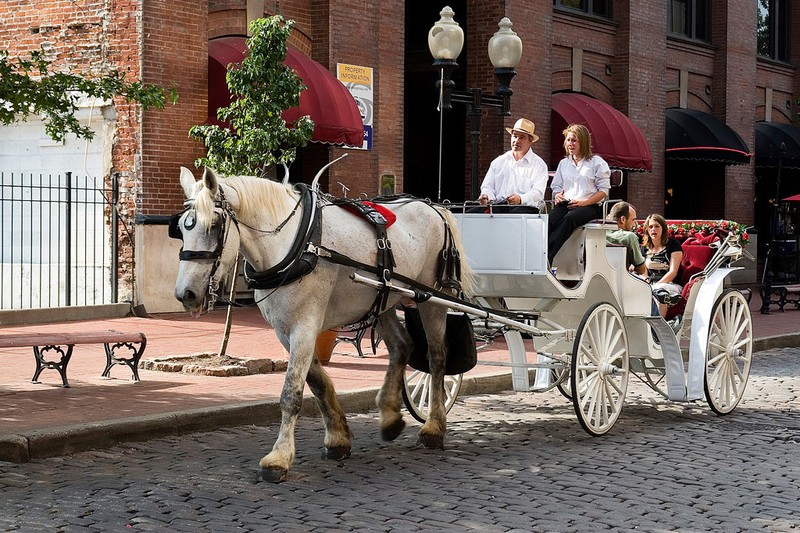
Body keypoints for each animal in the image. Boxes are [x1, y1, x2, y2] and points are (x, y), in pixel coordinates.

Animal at [172, 167, 472, 482]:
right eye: (181, 227)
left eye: (214, 225)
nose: (186, 294)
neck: (294, 242)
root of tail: (434, 206)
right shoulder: (286, 330)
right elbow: (317, 382)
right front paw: (338, 438)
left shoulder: (304, 326)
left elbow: (291, 393)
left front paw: (278, 458)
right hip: (384, 297)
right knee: (402, 346)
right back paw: (390, 417)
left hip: (433, 298)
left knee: (436, 357)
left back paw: (434, 428)